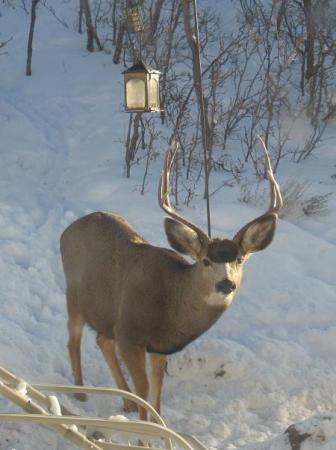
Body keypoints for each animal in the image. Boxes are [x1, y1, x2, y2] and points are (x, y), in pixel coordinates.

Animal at [60, 138, 280, 422]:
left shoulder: (159, 347)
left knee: (101, 339)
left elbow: (157, 391)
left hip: (105, 312)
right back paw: (80, 394)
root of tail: (68, 230)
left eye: (240, 260)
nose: (226, 284)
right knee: (73, 340)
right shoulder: (130, 333)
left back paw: (124, 402)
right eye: (205, 261)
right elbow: (144, 390)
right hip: (74, 295)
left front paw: (159, 422)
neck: (170, 307)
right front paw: (144, 428)